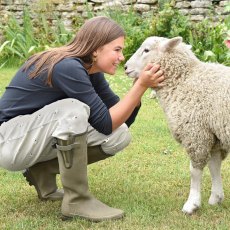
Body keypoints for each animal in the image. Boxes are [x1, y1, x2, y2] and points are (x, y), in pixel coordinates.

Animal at [125, 35, 230, 214]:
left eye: (146, 50)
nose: (125, 67)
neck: (183, 81)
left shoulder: (195, 133)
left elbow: (194, 171)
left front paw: (192, 203)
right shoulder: (212, 133)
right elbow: (214, 166)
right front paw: (216, 198)